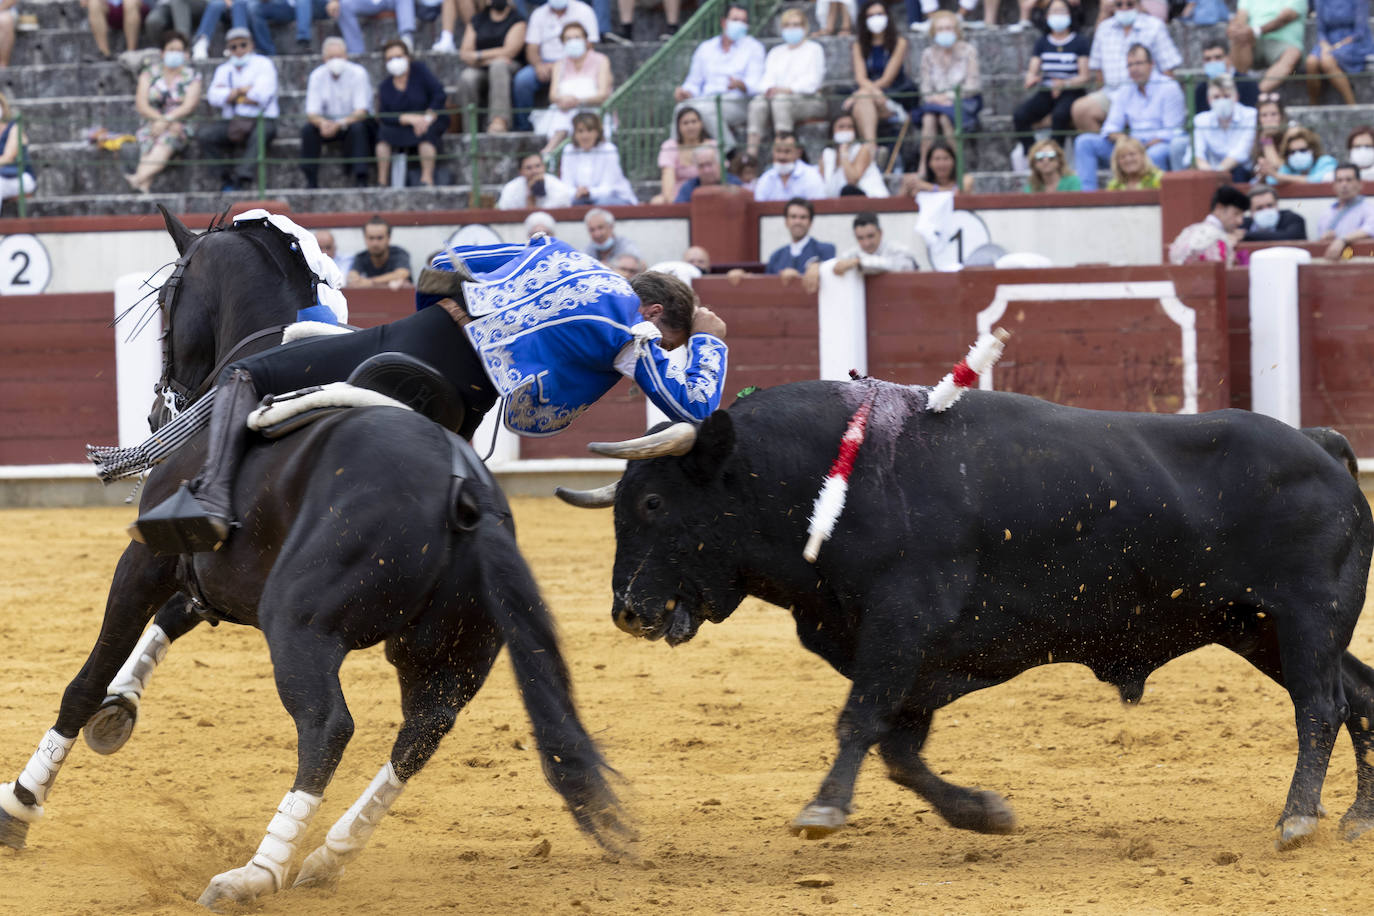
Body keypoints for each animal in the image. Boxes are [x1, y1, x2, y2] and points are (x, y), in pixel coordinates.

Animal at [1, 210, 629, 911]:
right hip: (451, 650)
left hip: (299, 622)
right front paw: (122, 707)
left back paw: (256, 872)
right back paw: (329, 855)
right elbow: (167, 625)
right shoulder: (218, 580)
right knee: (422, 731)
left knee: (328, 725)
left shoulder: (146, 558)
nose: (159, 405)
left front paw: (20, 803)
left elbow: (88, 676)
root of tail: (461, 487)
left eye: (166, 299)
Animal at [563, 381, 1374, 851]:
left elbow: (861, 722)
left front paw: (823, 809)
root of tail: (1323, 444)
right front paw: (983, 812)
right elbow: (898, 750)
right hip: (1259, 628)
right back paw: (1359, 817)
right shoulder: (908, 656)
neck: (833, 478)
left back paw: (1299, 817)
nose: (627, 612)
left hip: (1306, 617)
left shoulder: (900, 625)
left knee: (1320, 704)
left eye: (653, 503)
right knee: (1358, 695)